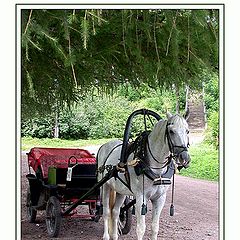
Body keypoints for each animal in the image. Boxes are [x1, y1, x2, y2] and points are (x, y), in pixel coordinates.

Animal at [96, 112, 190, 240]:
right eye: (171, 131)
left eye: (187, 131)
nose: (184, 158)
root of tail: (104, 146)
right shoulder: (141, 197)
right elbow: (141, 229)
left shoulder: (160, 198)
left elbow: (155, 227)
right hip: (105, 185)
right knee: (106, 211)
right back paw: (106, 236)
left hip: (120, 190)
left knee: (115, 212)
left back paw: (114, 235)